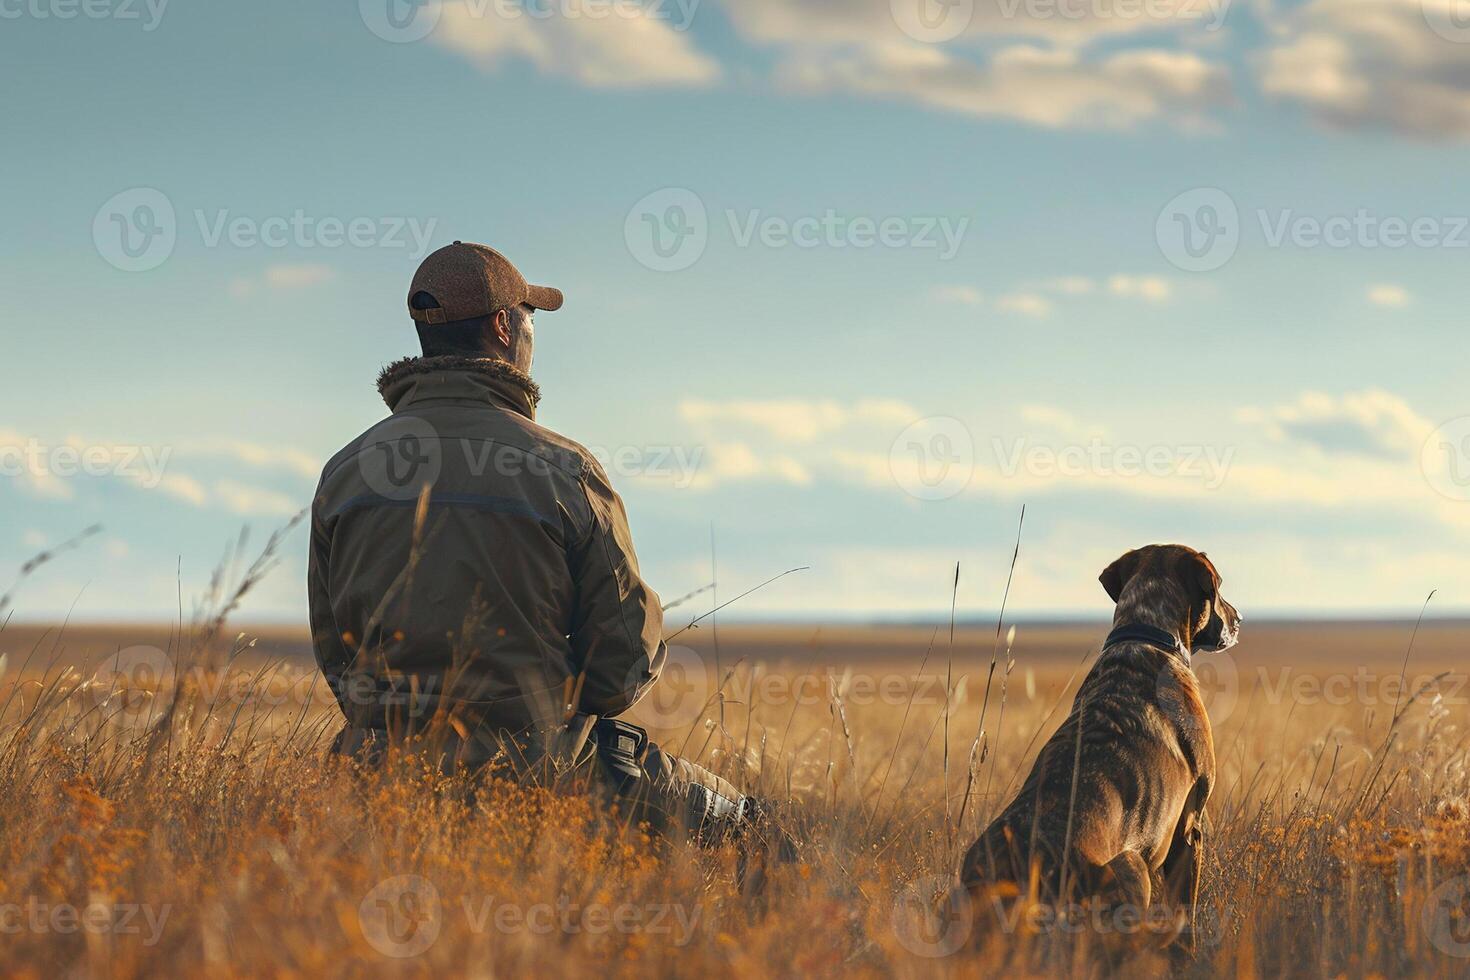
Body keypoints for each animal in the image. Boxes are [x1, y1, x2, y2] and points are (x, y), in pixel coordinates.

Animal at [964, 549, 1240, 946]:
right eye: (1218, 587)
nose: (1239, 620)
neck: (1146, 632)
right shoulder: (1190, 827)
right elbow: (1184, 917)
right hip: (1132, 867)